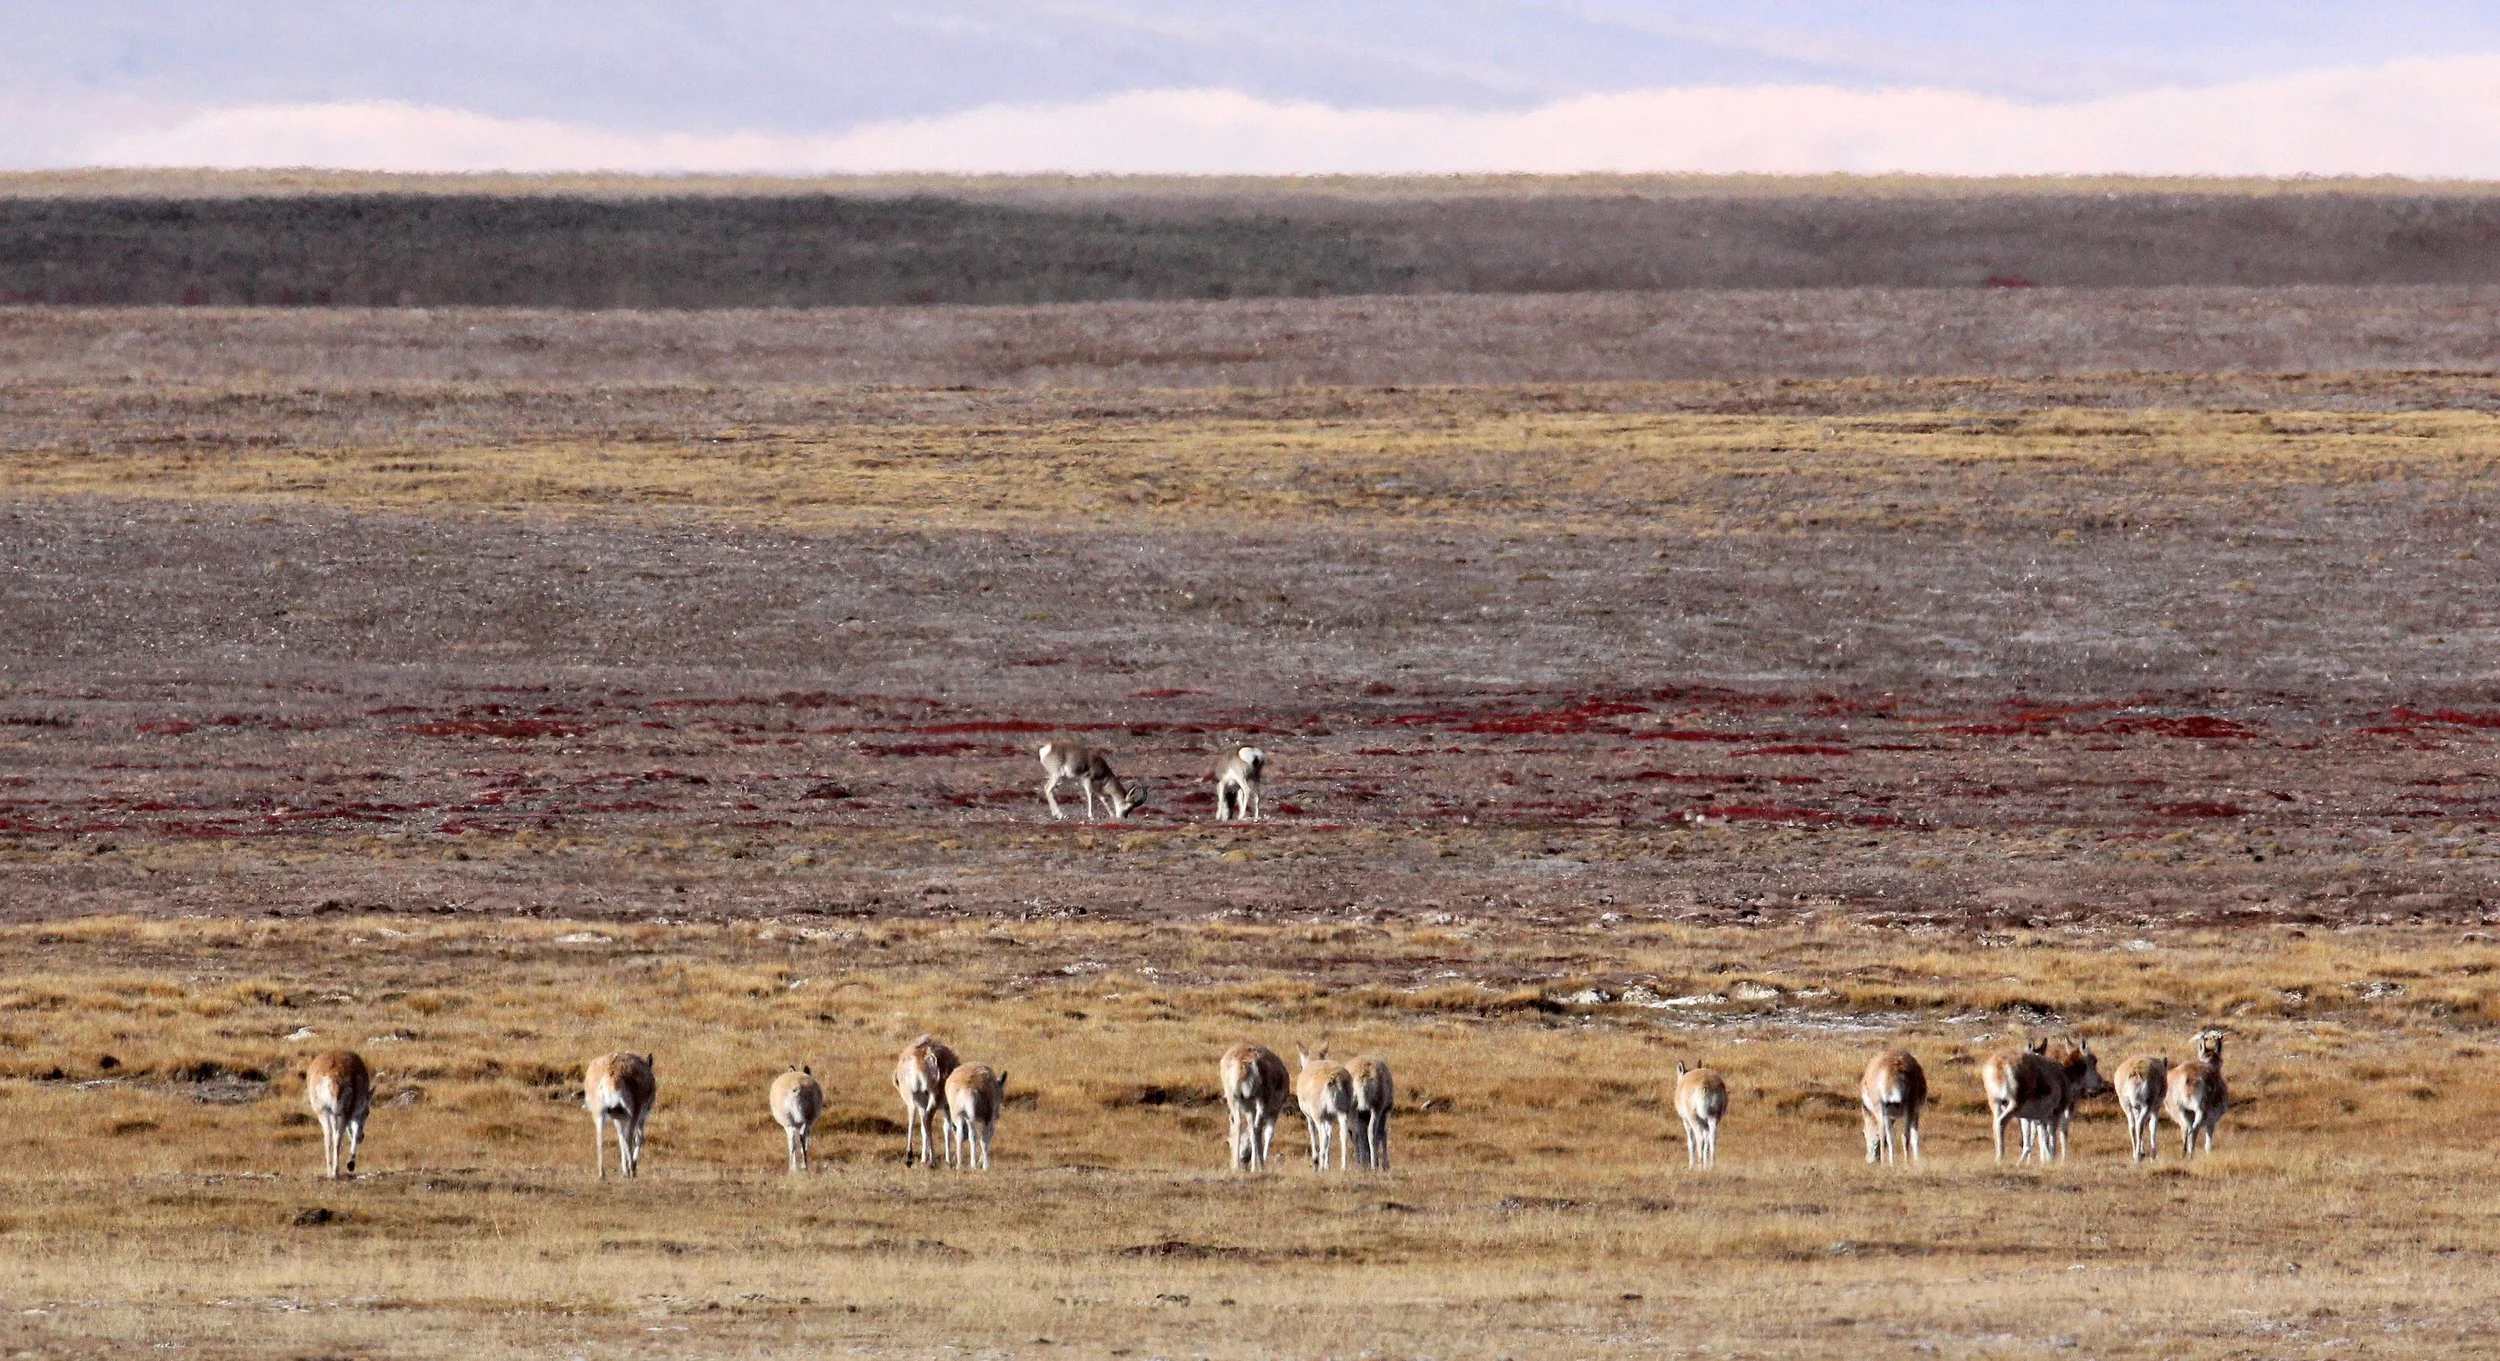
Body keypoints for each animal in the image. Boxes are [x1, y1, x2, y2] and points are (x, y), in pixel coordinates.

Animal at [304, 1049, 373, 1180]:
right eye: (367, 1112)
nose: (363, 1137)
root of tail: (334, 1077)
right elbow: (354, 1133)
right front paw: (350, 1165)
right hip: (343, 1114)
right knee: (338, 1137)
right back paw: (337, 1171)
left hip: (325, 1112)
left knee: (328, 1136)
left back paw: (330, 1173)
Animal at [584, 1052, 656, 1180]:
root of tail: (611, 1074)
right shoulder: (641, 1118)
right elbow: (639, 1138)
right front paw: (631, 1167)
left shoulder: (618, 1119)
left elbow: (620, 1138)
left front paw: (624, 1168)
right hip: (633, 1113)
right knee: (629, 1138)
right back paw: (631, 1171)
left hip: (600, 1113)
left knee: (600, 1139)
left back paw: (602, 1174)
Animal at [892, 1034, 961, 1167]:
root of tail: (922, 1057)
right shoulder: (947, 1106)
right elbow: (948, 1128)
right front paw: (948, 1160)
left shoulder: (922, 1105)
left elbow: (923, 1130)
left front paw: (923, 1158)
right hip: (934, 1097)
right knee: (928, 1119)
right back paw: (932, 1161)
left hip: (912, 1097)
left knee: (913, 1116)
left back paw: (909, 1156)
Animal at [1219, 1042, 1291, 1171]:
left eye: (1228, 1142)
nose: (1242, 1159)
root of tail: (1243, 1061)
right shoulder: (1274, 1112)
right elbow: (1268, 1133)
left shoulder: (1249, 1111)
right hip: (1260, 1100)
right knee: (1257, 1128)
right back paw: (1259, 1165)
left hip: (1233, 1098)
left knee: (1238, 1124)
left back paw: (1237, 1167)